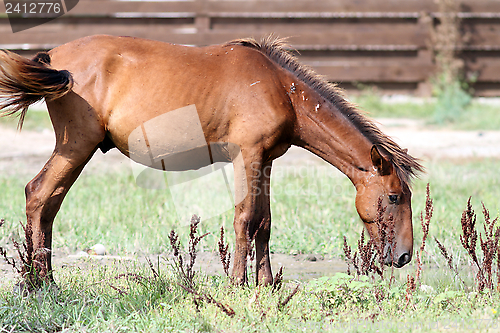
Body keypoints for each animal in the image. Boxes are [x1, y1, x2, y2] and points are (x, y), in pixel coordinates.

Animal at [0, 35, 422, 286]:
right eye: (395, 197)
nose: (404, 255)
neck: (279, 88)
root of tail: (52, 57)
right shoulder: (246, 156)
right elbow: (244, 219)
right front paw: (236, 283)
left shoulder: (266, 161)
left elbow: (264, 221)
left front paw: (265, 283)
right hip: (77, 147)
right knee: (39, 195)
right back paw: (39, 283)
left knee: (48, 204)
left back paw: (42, 279)